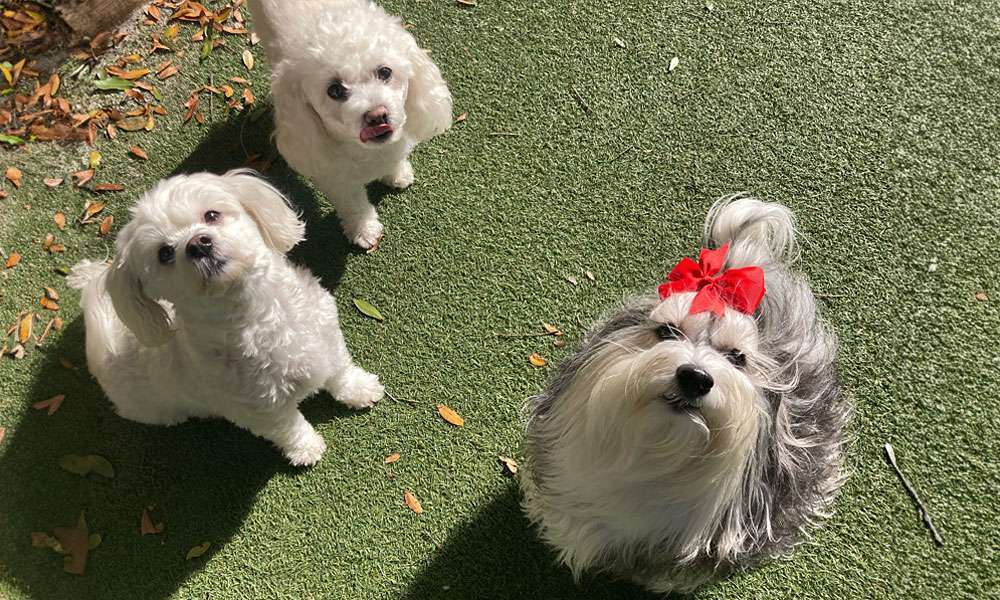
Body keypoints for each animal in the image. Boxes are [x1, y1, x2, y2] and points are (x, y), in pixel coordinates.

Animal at [67, 171, 382, 466]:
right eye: (164, 253)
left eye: (211, 215)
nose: (198, 244)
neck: (260, 316)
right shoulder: (261, 409)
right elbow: (289, 428)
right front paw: (306, 450)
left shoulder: (327, 337)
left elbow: (341, 371)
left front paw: (360, 389)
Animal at [248, 0, 452, 250]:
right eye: (335, 90)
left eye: (385, 71)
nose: (377, 116)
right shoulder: (335, 177)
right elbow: (353, 204)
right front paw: (364, 230)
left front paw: (398, 174)